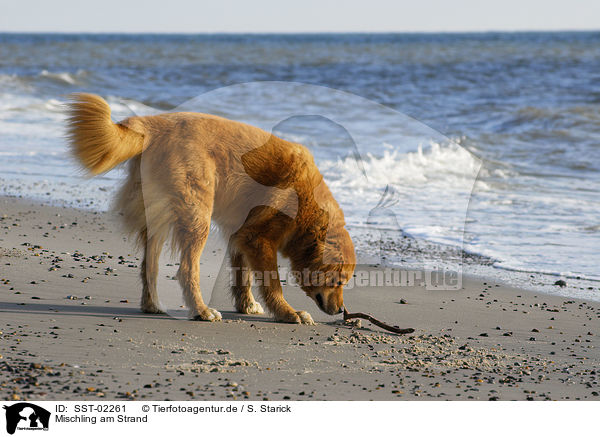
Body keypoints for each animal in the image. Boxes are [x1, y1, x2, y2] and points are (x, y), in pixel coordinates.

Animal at [67, 93, 356, 324]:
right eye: (338, 281)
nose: (341, 310)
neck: (310, 207)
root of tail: (152, 126)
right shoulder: (258, 237)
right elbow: (273, 283)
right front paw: (288, 313)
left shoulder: (241, 233)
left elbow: (242, 276)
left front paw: (246, 305)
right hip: (197, 216)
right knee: (186, 270)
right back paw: (201, 310)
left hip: (159, 218)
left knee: (150, 266)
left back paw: (153, 305)